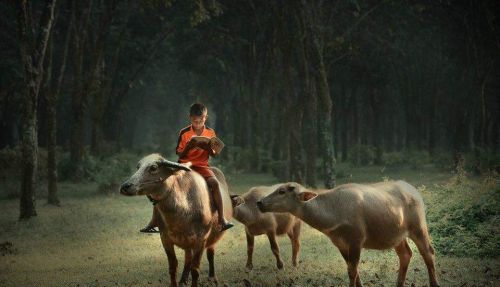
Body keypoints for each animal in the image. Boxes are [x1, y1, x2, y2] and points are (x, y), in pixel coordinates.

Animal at [120, 155, 233, 287]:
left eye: (153, 167)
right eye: (138, 167)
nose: (125, 187)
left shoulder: (201, 239)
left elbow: (195, 269)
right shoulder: (165, 239)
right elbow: (173, 266)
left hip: (213, 237)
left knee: (210, 254)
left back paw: (212, 277)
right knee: (188, 258)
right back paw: (183, 279)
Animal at [258, 182, 438, 287]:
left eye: (281, 191)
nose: (260, 202)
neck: (334, 212)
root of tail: (415, 192)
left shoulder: (356, 240)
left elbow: (352, 270)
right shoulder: (340, 243)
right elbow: (353, 269)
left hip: (419, 228)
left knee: (428, 253)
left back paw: (434, 283)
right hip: (397, 235)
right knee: (405, 254)